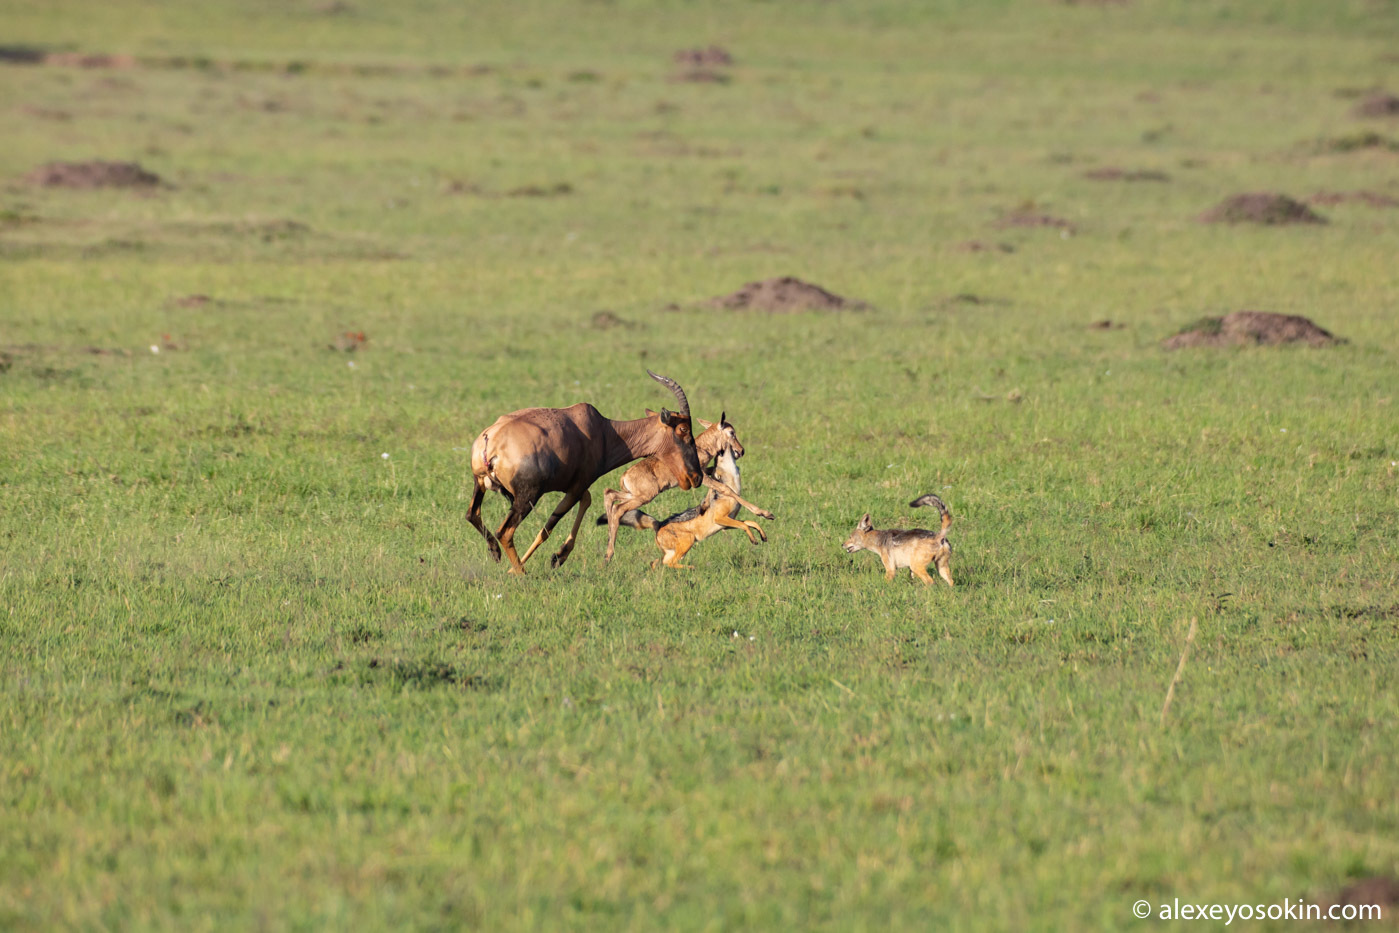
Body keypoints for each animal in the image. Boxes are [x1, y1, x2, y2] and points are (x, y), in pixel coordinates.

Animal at [467, 372, 705, 576]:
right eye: (683, 429)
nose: (696, 477)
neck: (602, 430)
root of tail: (491, 441)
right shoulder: (577, 486)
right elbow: (550, 526)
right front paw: (558, 557)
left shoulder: (573, 486)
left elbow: (584, 502)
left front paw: (558, 556)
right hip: (527, 497)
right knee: (505, 532)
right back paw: (521, 573)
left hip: (480, 484)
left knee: (472, 514)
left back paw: (496, 553)